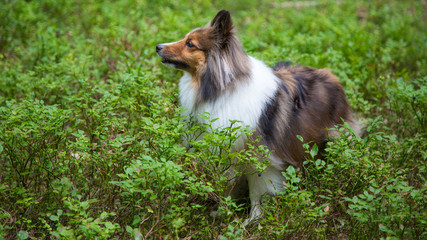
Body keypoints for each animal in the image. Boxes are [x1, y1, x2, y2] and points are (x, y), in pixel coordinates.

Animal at [157, 9, 362, 221]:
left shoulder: (260, 160)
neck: (222, 89)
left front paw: (253, 221)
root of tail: (331, 75)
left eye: (190, 43)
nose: (157, 47)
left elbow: (257, 193)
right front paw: (222, 213)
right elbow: (228, 190)